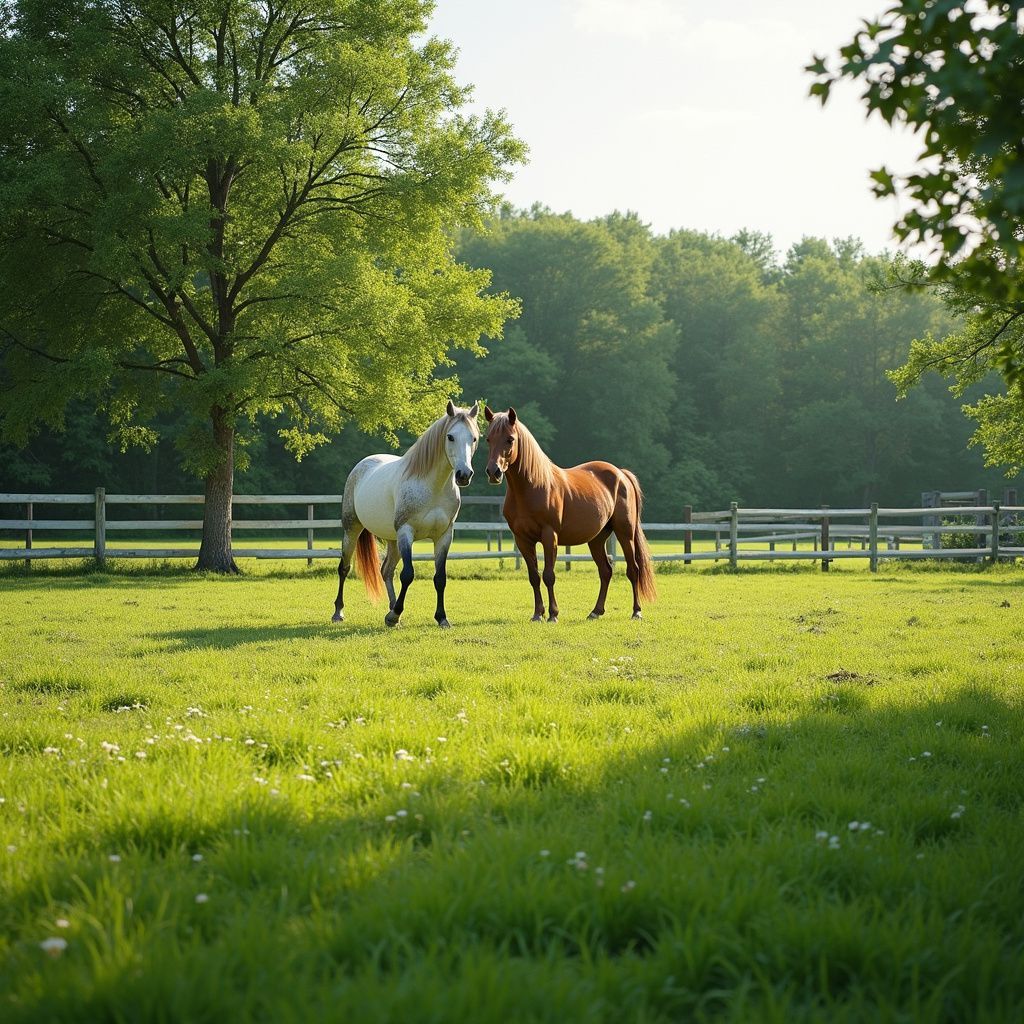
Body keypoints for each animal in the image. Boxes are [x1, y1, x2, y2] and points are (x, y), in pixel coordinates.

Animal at [332, 401, 480, 628]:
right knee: (344, 568)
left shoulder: (444, 536)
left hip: (392, 540)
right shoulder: (406, 532)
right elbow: (408, 574)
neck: (432, 487)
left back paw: (392, 612)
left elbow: (440, 578)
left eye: (474, 438)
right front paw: (395, 614)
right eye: (450, 436)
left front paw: (441, 618)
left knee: (386, 570)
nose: (464, 475)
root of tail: (362, 465)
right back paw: (339, 612)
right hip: (352, 530)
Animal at [483, 406, 656, 622]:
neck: (532, 487)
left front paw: (553, 614)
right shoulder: (522, 540)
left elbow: (549, 575)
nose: (493, 472)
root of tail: (621, 474)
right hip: (597, 539)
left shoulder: (550, 536)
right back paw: (595, 611)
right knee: (605, 571)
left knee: (633, 570)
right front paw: (537, 614)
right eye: (488, 439)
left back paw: (636, 611)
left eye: (510, 439)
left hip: (625, 533)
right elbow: (534, 576)